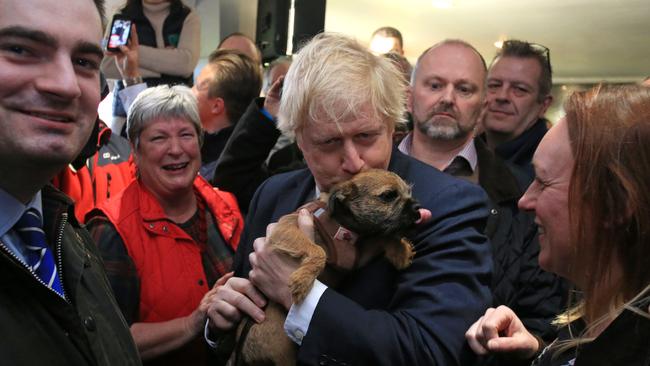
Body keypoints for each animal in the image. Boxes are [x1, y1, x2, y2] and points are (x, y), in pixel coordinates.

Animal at [233, 171, 420, 366]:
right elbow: (319, 251)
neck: (344, 224)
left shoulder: (356, 256)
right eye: (388, 195)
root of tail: (245, 352)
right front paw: (303, 280)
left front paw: (401, 252)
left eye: (409, 192)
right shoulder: (285, 228)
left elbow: (383, 237)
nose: (417, 207)